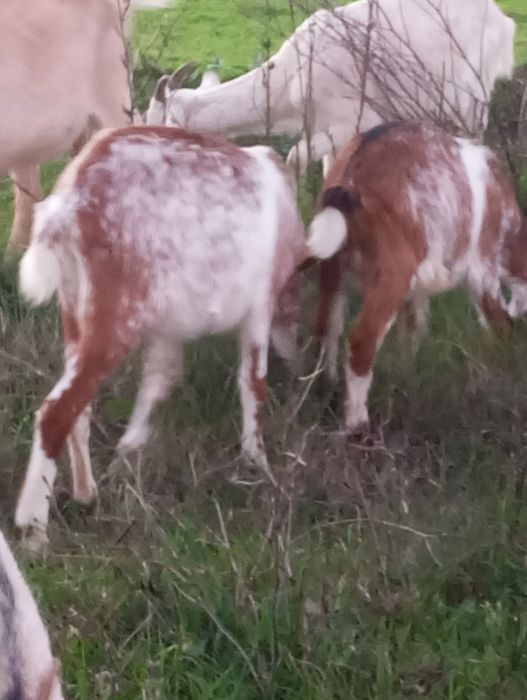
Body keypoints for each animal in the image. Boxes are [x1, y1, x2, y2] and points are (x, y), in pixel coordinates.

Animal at [14, 126, 307, 548]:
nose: (301, 360)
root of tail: (68, 205)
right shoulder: (259, 307)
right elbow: (253, 383)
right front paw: (258, 464)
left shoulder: (168, 331)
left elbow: (159, 381)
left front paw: (126, 455)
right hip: (115, 316)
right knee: (56, 412)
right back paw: (34, 531)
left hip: (74, 308)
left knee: (78, 408)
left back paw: (87, 494)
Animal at [161, 0, 515, 176]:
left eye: (157, 121)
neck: (289, 82)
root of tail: (504, 22)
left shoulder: (356, 119)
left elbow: (293, 157)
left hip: (472, 99)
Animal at [308, 121, 527, 434]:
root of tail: (348, 180)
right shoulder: (482, 268)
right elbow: (499, 324)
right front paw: (504, 371)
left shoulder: (416, 290)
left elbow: (414, 329)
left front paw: (406, 374)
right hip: (392, 269)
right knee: (362, 338)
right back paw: (358, 423)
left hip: (331, 264)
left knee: (326, 325)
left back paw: (328, 389)